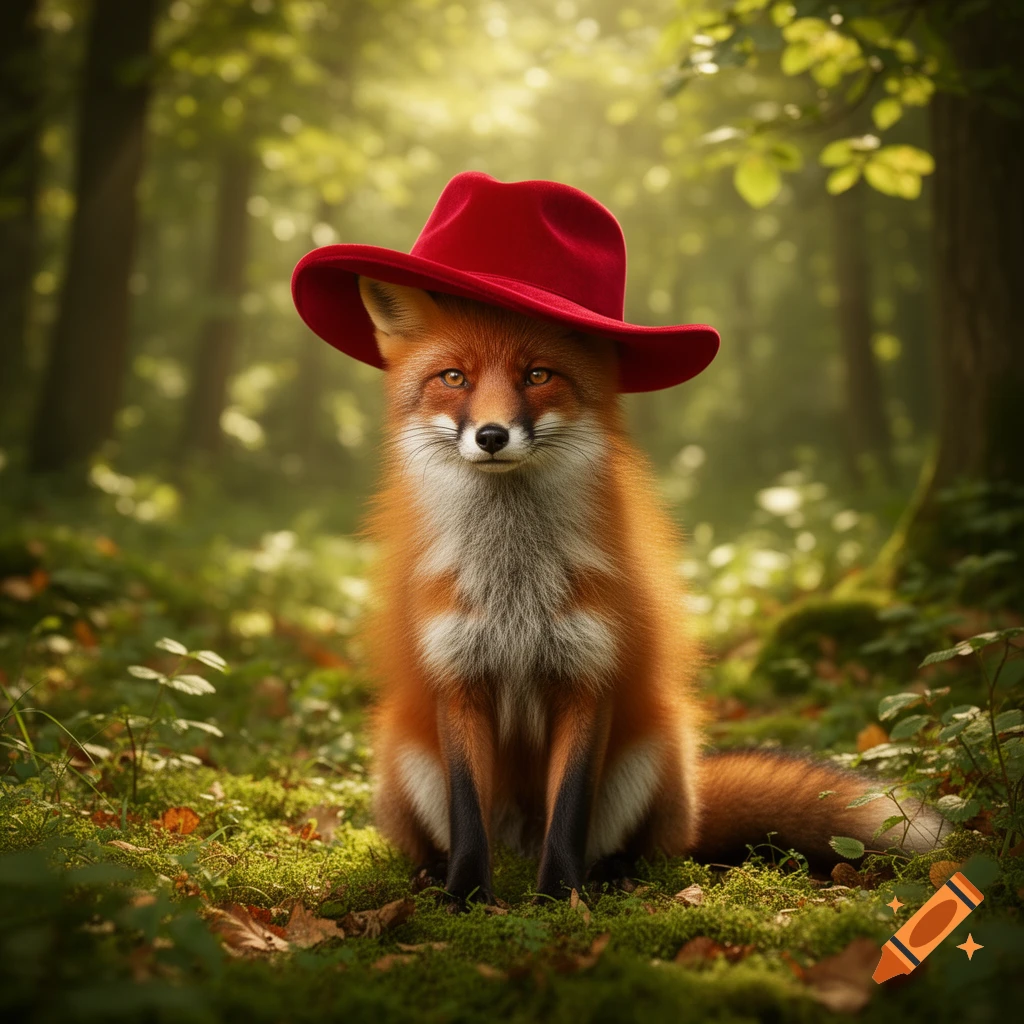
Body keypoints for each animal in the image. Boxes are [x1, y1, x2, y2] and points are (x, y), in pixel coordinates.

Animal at [357, 275, 945, 902]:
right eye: (453, 378)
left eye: (537, 375)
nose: (492, 436)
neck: (514, 589)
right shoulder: (458, 678)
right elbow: (467, 811)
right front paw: (466, 896)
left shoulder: (589, 677)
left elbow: (571, 811)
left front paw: (560, 896)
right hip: (405, 750)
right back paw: (433, 871)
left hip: (656, 747)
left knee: (651, 848)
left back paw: (613, 874)